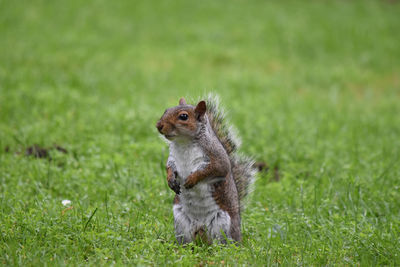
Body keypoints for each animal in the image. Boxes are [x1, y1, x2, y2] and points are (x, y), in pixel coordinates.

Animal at [156, 96, 256, 245]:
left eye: (183, 116)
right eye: (166, 110)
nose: (159, 126)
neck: (184, 142)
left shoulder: (217, 158)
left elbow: (213, 170)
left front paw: (192, 179)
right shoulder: (172, 158)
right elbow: (169, 167)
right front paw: (170, 180)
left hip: (223, 226)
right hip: (181, 223)